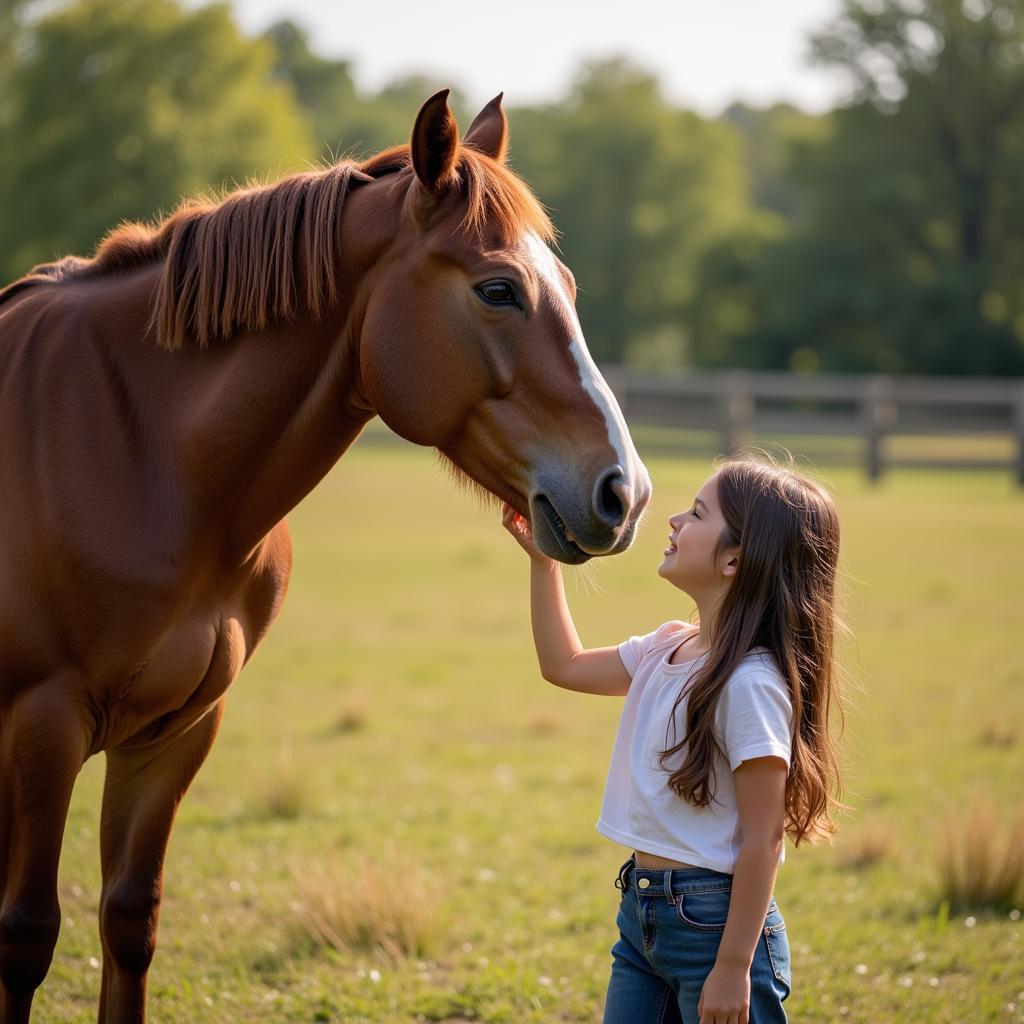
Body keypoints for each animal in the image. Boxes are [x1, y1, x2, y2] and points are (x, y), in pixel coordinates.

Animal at [0, 92, 647, 1019]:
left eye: (564, 287)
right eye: (499, 289)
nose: (623, 492)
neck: (140, 456)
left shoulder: (175, 732)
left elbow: (129, 921)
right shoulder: (43, 727)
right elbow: (25, 934)